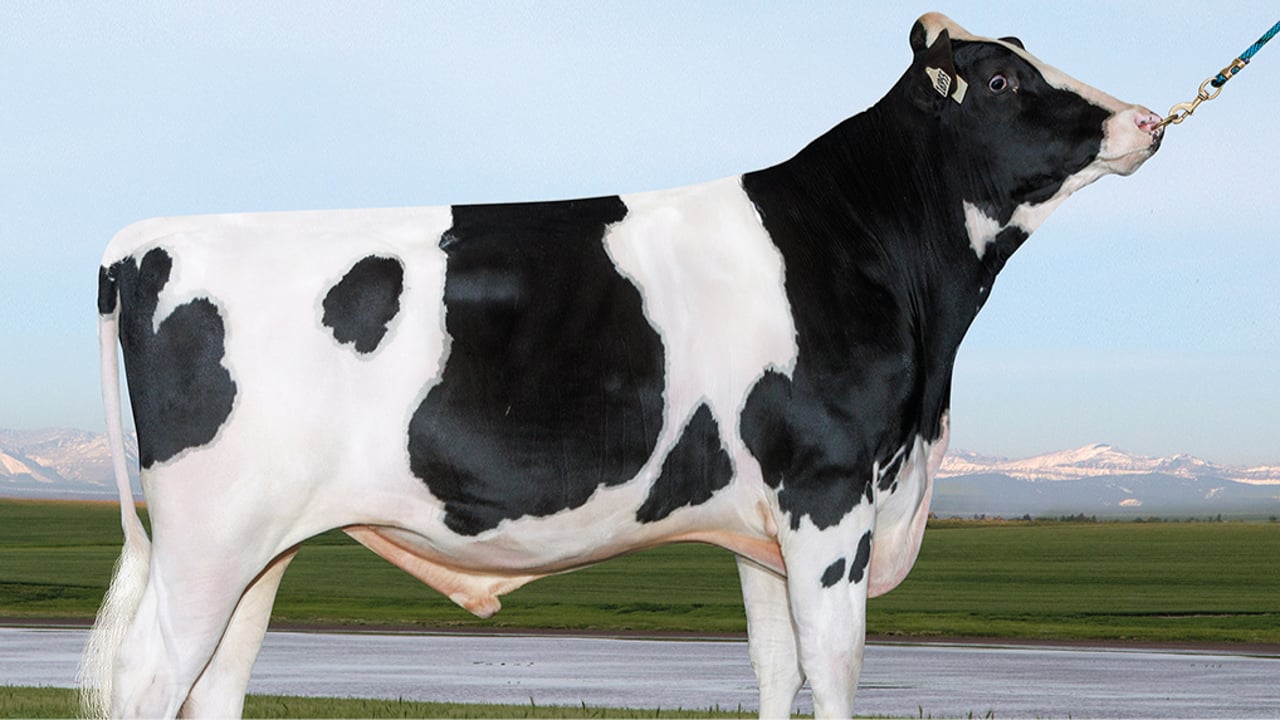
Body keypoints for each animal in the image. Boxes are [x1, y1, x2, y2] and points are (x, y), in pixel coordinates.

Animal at [82, 13, 1163, 719]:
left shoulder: (761, 527)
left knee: (214, 684)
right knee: (150, 676)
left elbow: (778, 671)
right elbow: (835, 668)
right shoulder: (826, 490)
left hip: (259, 543)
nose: (1146, 120)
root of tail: (141, 243)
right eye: (1000, 83)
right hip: (207, 537)